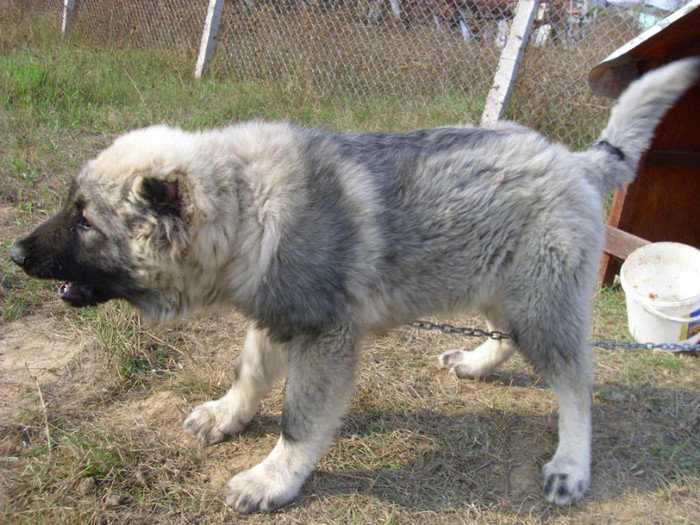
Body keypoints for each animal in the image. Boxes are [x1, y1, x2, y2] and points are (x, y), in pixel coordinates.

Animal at [12, 58, 700, 512]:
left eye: (85, 221)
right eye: (72, 208)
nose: (16, 253)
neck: (245, 203)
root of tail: (575, 160)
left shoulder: (325, 338)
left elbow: (298, 422)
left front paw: (273, 479)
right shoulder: (276, 315)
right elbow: (249, 373)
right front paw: (228, 414)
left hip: (542, 302)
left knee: (577, 384)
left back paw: (570, 464)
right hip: (492, 281)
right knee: (504, 339)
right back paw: (477, 364)